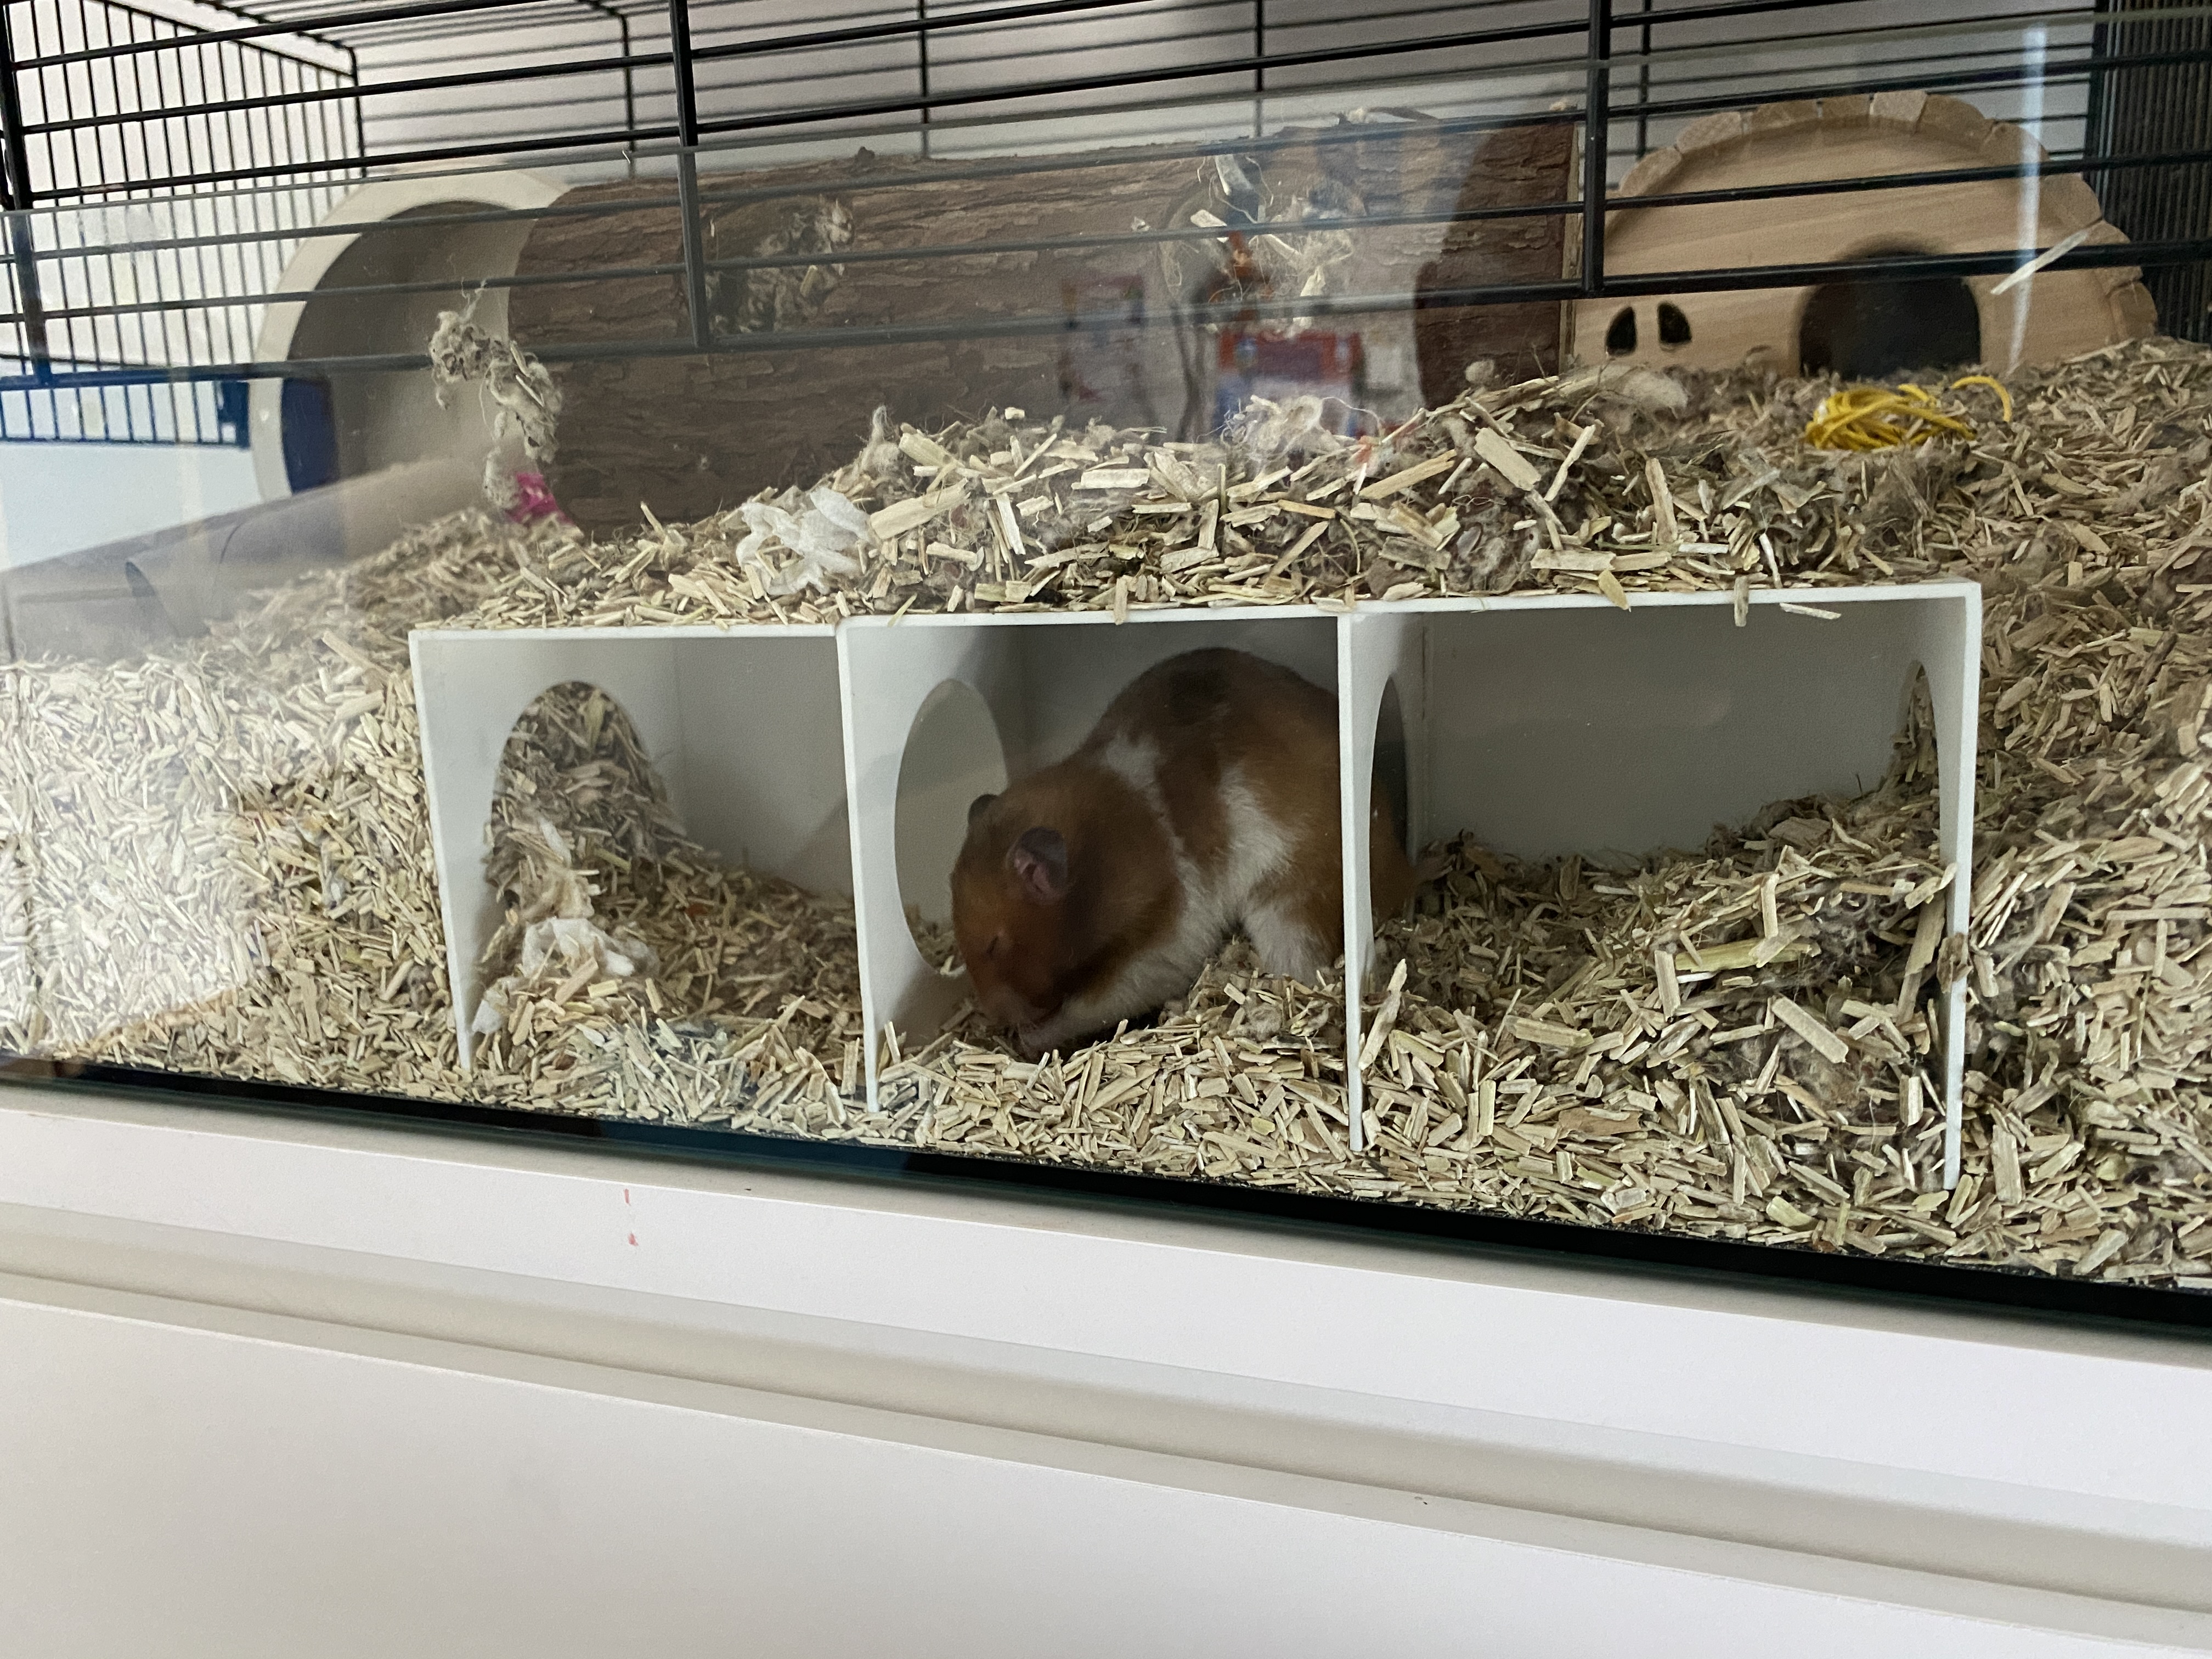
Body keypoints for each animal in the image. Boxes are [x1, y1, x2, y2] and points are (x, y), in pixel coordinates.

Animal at [952, 647, 1417, 1057]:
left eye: (993, 945)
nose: (994, 1019)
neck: (1103, 857)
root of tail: (1401, 879)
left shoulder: (1170, 933)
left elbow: (1100, 1001)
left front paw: (1029, 1037)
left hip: (1291, 906)